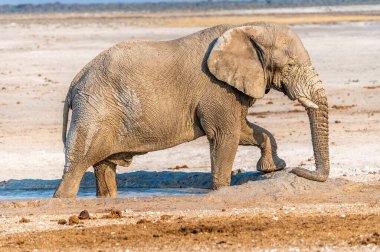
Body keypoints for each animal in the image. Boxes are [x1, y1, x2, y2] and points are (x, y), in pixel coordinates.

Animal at [52, 22, 328, 199]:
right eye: (290, 66)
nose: (298, 170)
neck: (249, 28)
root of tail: (76, 81)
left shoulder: (230, 89)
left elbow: (243, 130)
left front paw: (272, 168)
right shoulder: (216, 88)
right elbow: (225, 135)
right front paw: (221, 190)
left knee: (104, 166)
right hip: (93, 110)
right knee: (76, 167)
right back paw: (62, 199)